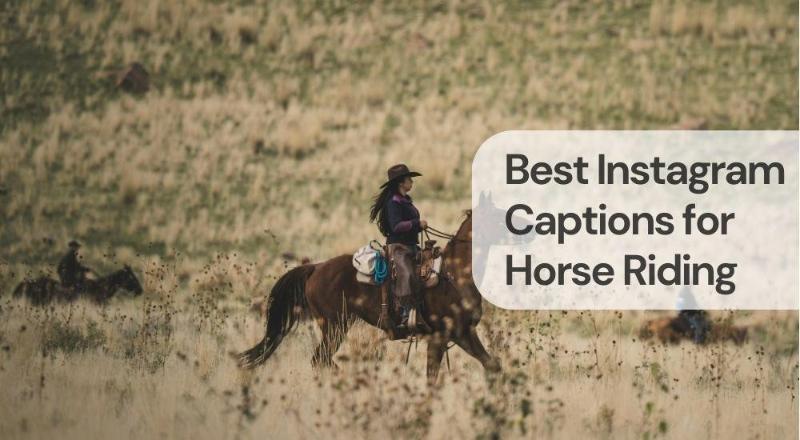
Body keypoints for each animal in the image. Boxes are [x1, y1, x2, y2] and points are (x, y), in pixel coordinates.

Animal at [239, 210, 501, 382]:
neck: (452, 275)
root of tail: (316, 267)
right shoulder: (440, 337)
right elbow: (432, 379)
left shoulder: (463, 333)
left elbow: (492, 364)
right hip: (335, 326)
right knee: (320, 359)